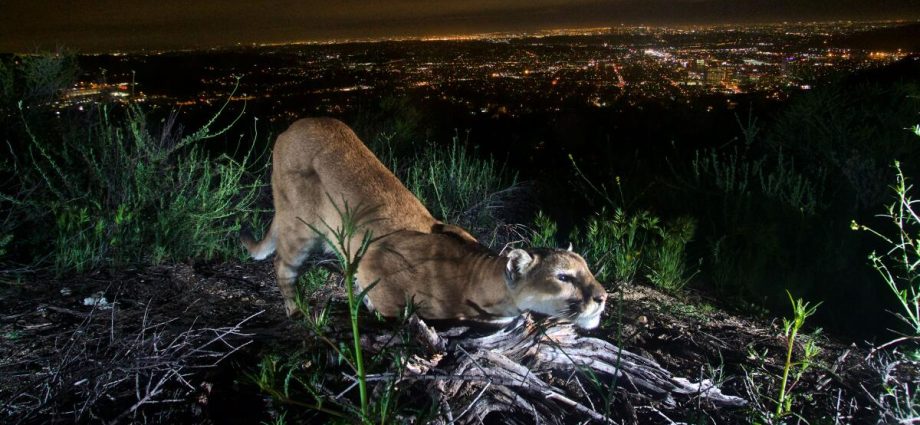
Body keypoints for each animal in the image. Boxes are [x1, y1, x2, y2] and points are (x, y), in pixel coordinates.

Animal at [242, 118, 607, 328]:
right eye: (563, 277)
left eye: (588, 271)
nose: (603, 297)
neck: (476, 278)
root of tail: (293, 126)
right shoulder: (376, 262)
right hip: (301, 227)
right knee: (282, 265)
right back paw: (297, 311)